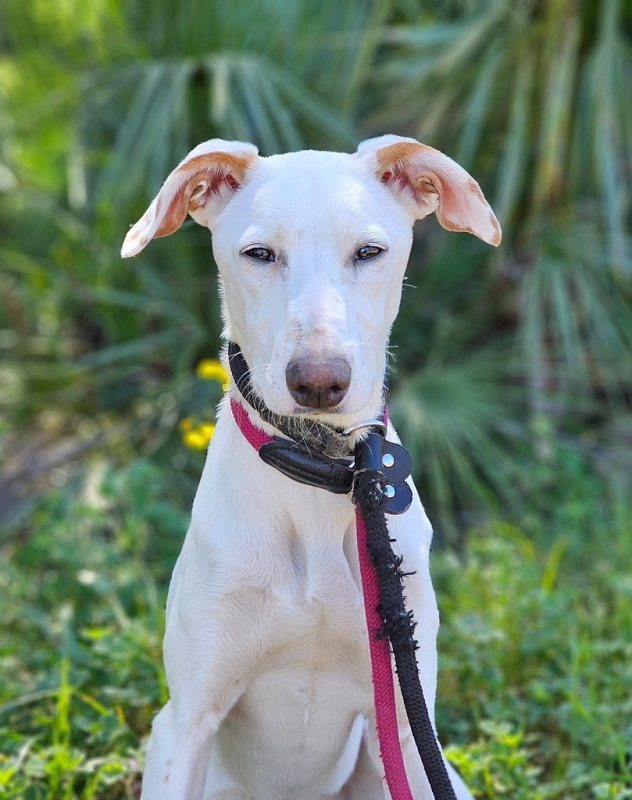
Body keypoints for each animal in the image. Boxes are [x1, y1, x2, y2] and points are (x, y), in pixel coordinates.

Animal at [121, 134, 501, 800]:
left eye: (369, 251)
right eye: (260, 253)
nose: (320, 382)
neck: (322, 475)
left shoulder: (409, 726)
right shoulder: (184, 722)